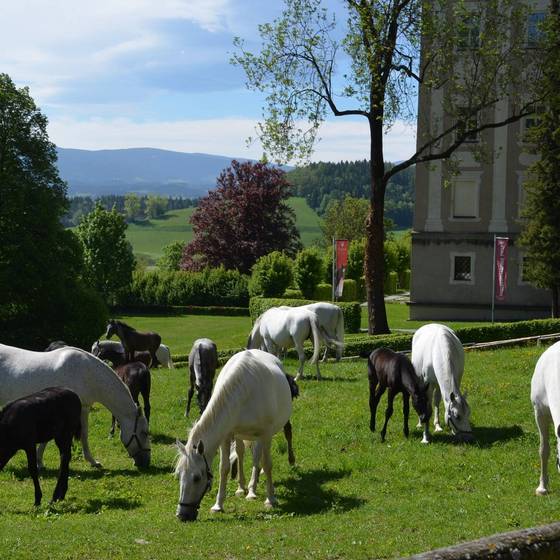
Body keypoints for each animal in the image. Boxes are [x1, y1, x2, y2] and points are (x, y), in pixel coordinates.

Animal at [175, 348, 294, 524]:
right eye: (179, 475)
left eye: (196, 478)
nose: (182, 515)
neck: (244, 391)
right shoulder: (226, 435)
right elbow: (224, 467)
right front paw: (218, 505)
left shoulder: (265, 434)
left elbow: (266, 464)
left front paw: (270, 500)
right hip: (240, 434)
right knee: (242, 453)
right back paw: (242, 487)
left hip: (260, 435)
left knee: (257, 457)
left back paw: (252, 490)